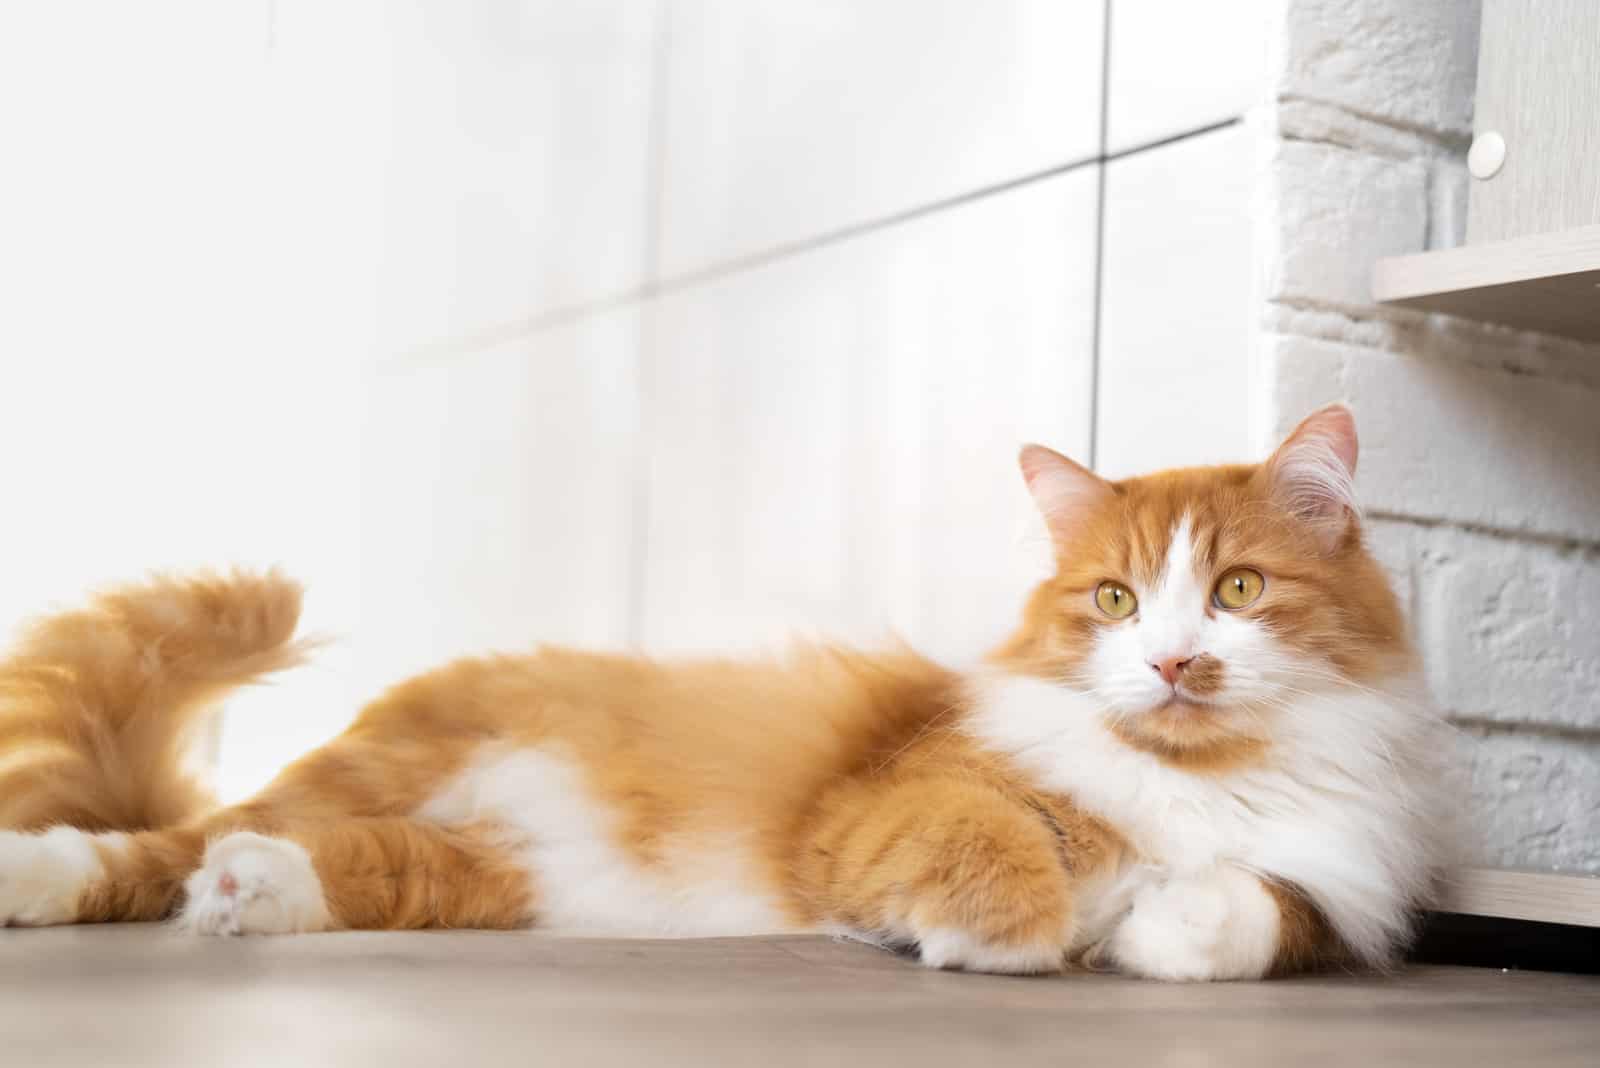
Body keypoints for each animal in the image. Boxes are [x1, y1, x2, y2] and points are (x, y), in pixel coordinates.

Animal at [0, 404, 1452, 978]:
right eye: (1114, 602)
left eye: (1238, 591)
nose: (1172, 662)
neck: (1198, 776)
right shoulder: (892, 801)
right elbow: (1000, 855)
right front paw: (1003, 936)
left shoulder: (1336, 887)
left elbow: (1251, 910)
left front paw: (1155, 921)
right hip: (379, 768)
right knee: (157, 844)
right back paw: (47, 876)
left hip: (513, 877)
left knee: (340, 868)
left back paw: (254, 896)